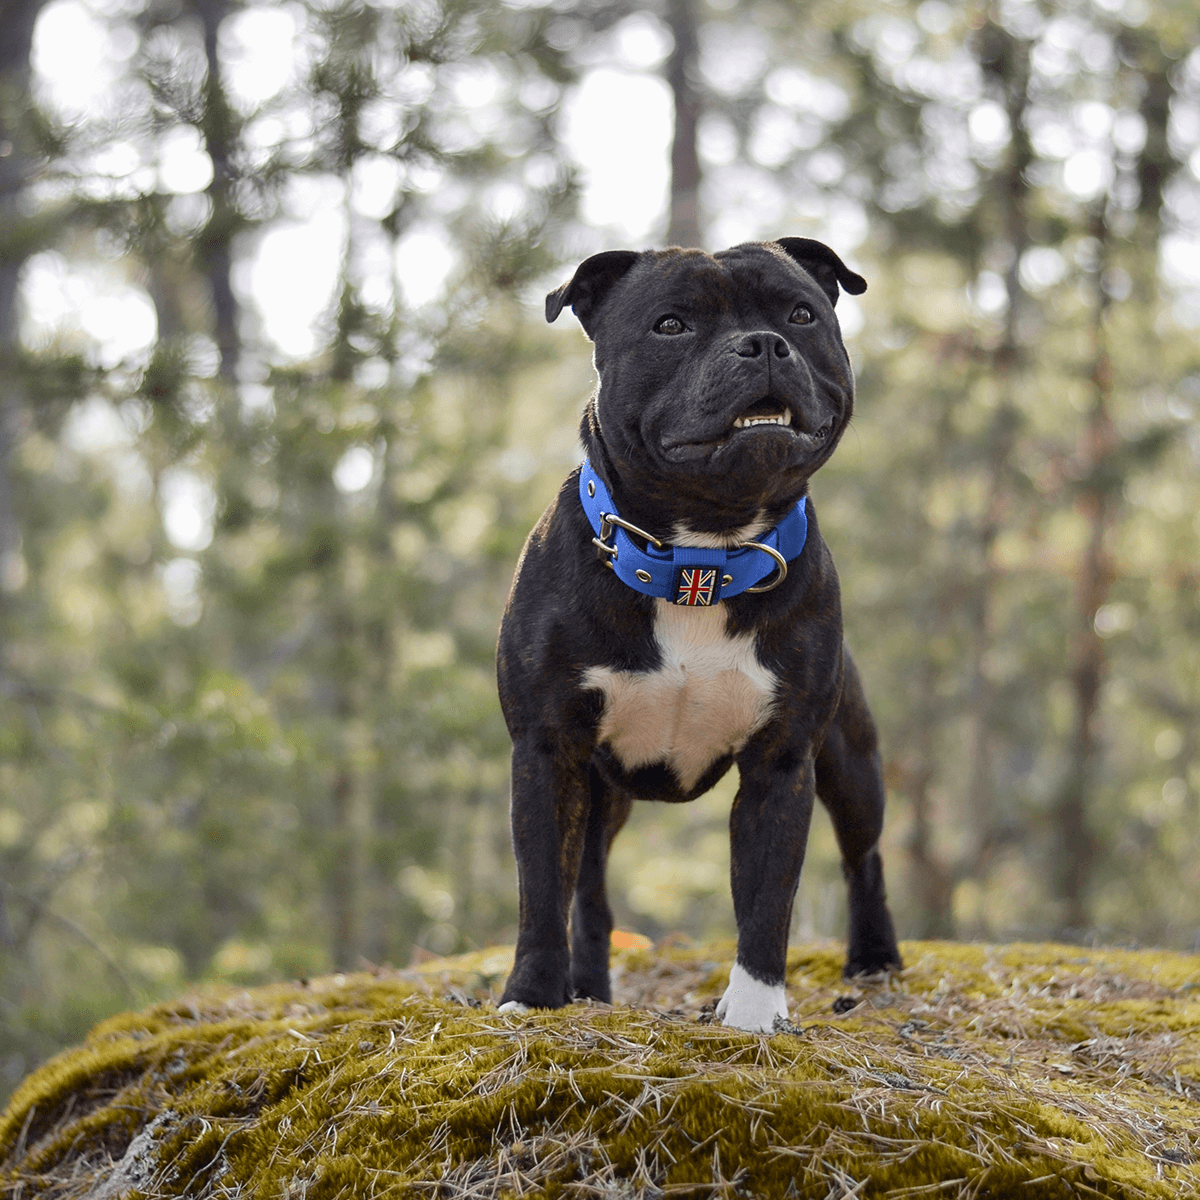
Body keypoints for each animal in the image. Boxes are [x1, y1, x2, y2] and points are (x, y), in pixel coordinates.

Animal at [494, 236, 902, 1032]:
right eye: (671, 325)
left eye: (801, 314)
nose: (764, 343)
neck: (700, 554)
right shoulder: (548, 751)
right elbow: (541, 891)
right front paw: (531, 996)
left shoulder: (783, 762)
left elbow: (768, 895)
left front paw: (754, 1011)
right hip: (602, 795)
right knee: (588, 892)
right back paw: (588, 987)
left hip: (851, 759)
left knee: (862, 854)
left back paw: (874, 959)